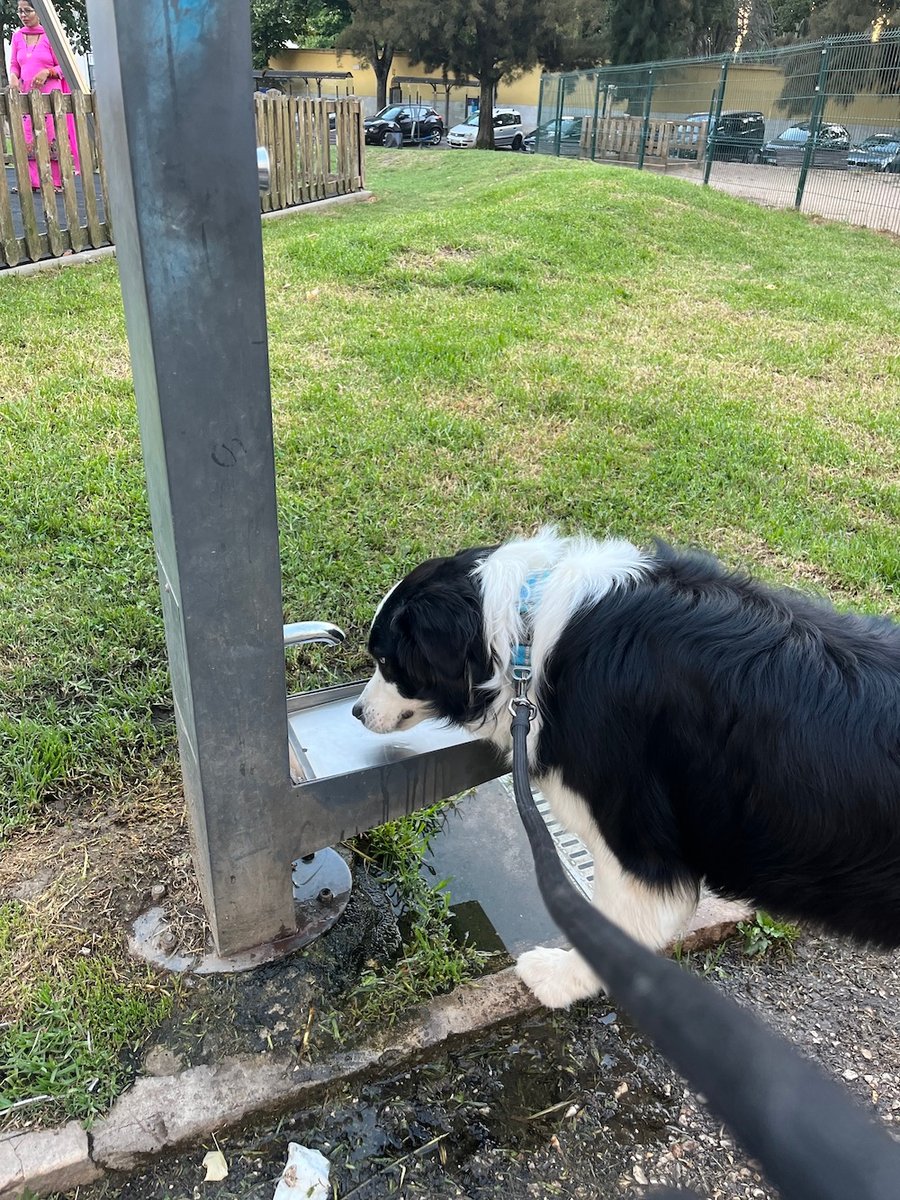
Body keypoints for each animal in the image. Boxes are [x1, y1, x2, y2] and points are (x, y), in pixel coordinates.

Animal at [352, 530, 900, 1008]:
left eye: (386, 661)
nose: (356, 712)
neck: (528, 630)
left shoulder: (635, 833)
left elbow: (618, 924)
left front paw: (557, 978)